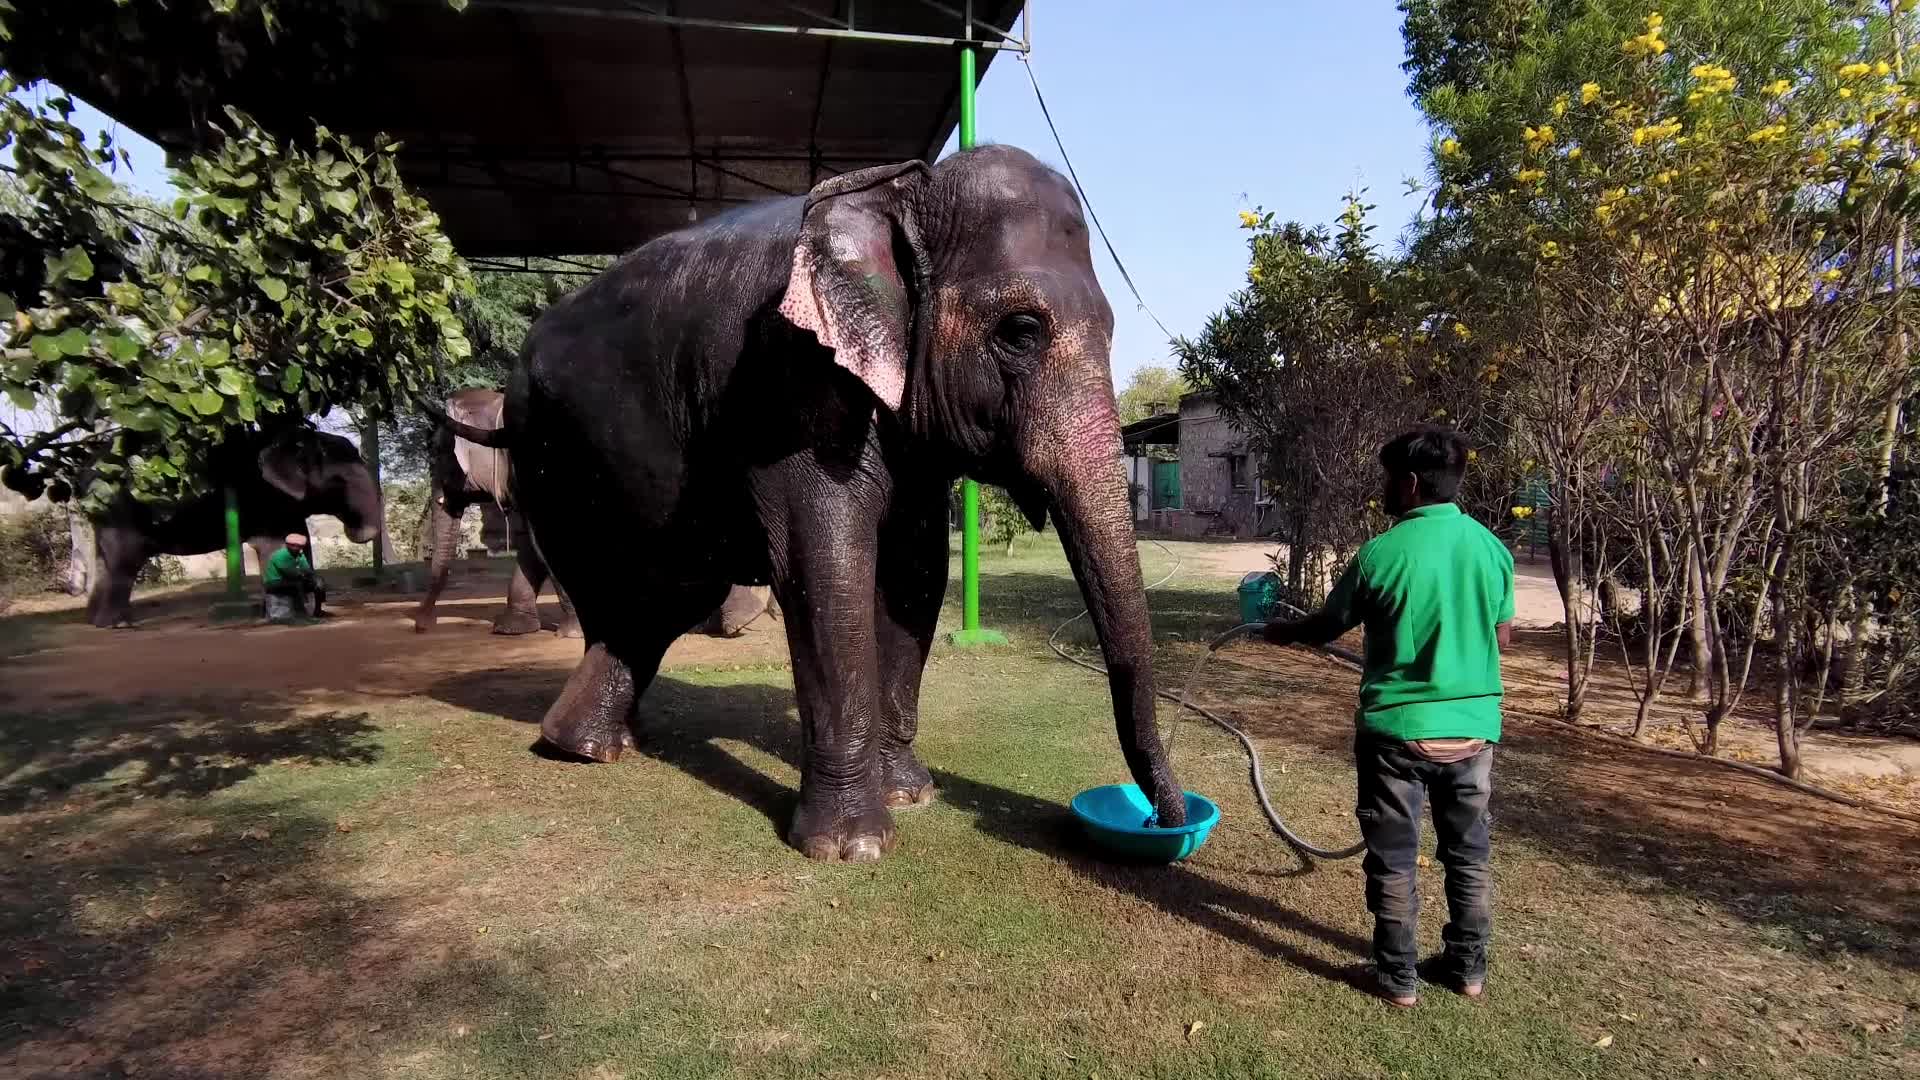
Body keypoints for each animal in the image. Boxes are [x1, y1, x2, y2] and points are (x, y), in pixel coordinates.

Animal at [86, 425, 382, 627]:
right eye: (337, 483)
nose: (356, 529)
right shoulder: (262, 494)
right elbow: (273, 545)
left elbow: (300, 539)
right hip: (121, 511)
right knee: (124, 561)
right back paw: (117, 624)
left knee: (105, 562)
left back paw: (99, 621)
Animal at [435, 145, 1184, 861]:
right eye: (1021, 330)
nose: (1165, 822)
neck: (900, 190)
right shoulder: (788, 383)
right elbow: (825, 564)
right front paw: (852, 847)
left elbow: (914, 573)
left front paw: (912, 794)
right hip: (551, 459)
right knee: (622, 590)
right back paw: (583, 747)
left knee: (660, 600)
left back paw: (606, 738)